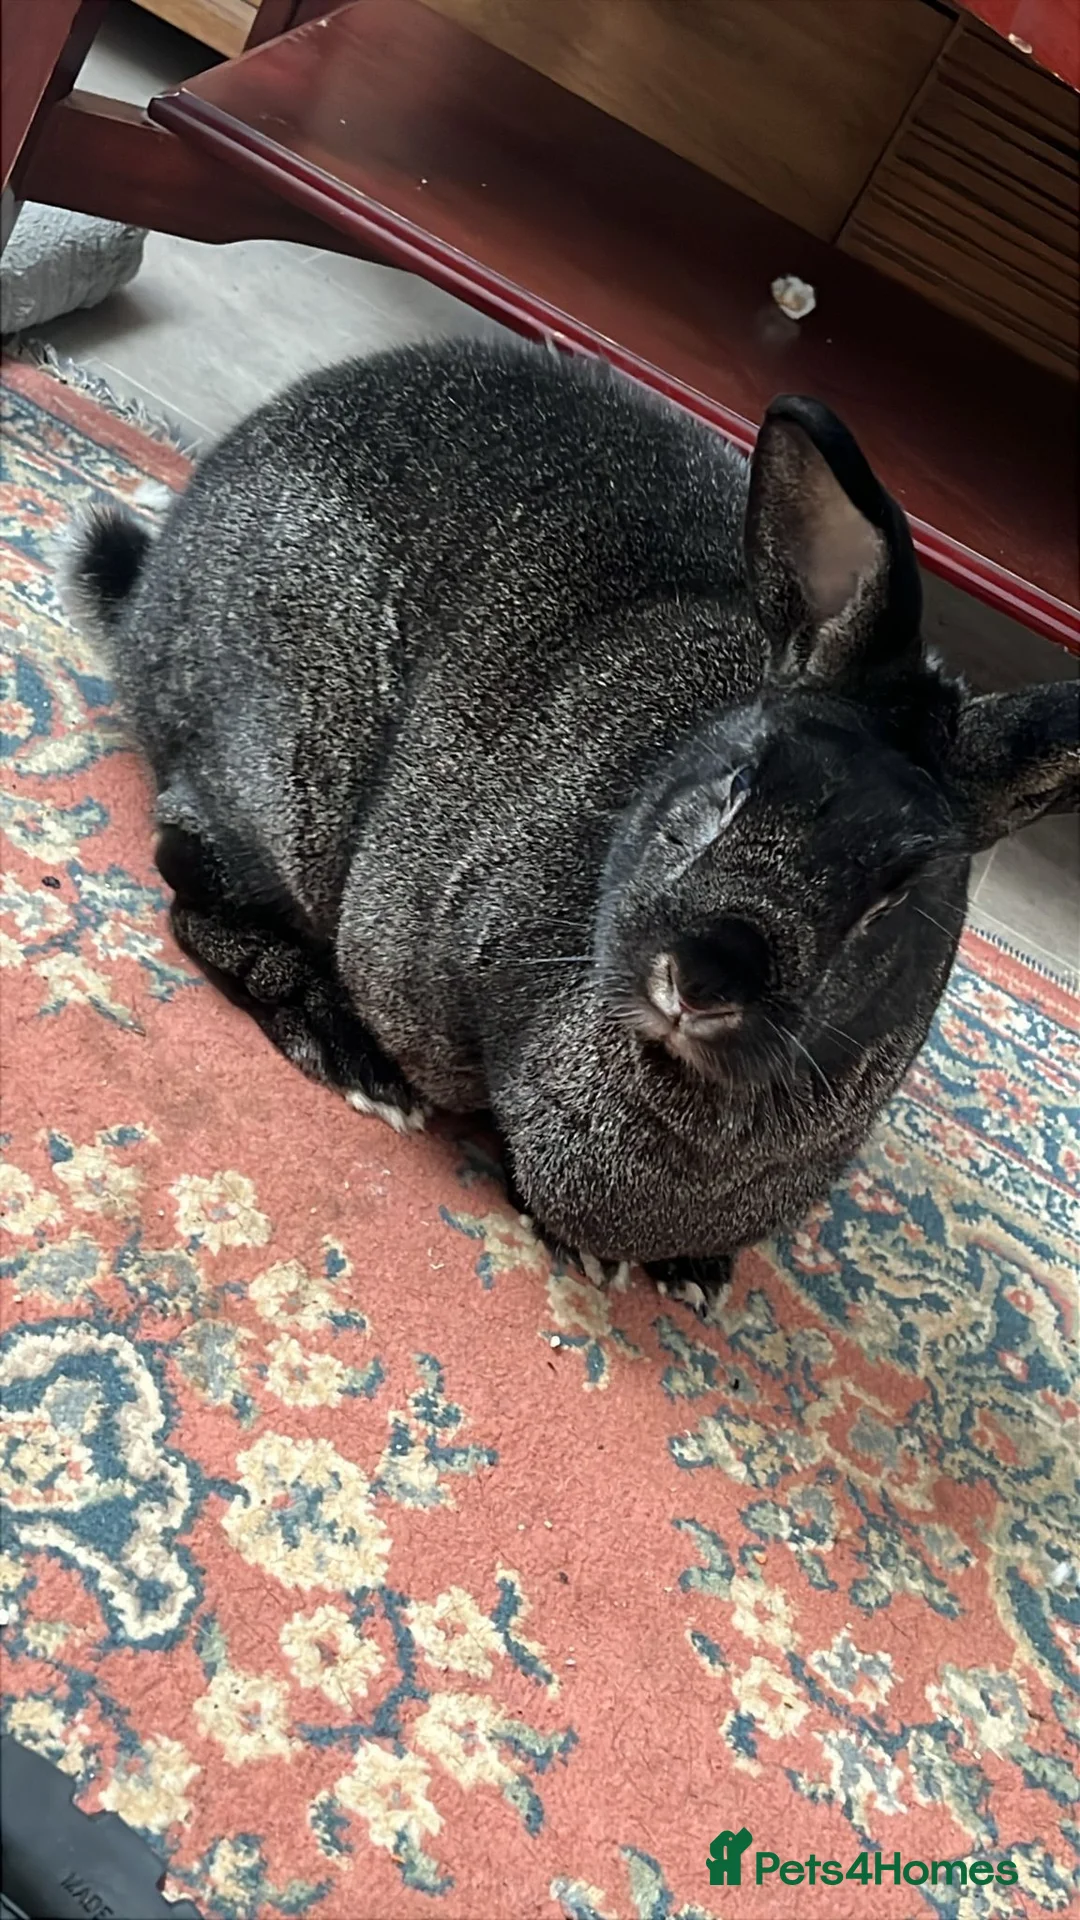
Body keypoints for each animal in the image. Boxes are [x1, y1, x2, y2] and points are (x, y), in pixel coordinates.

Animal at [64, 338, 1079, 1319]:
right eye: (735, 782)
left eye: (896, 897)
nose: (706, 976)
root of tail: (155, 587)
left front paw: (695, 1273)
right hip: (291, 785)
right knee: (185, 875)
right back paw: (350, 1053)